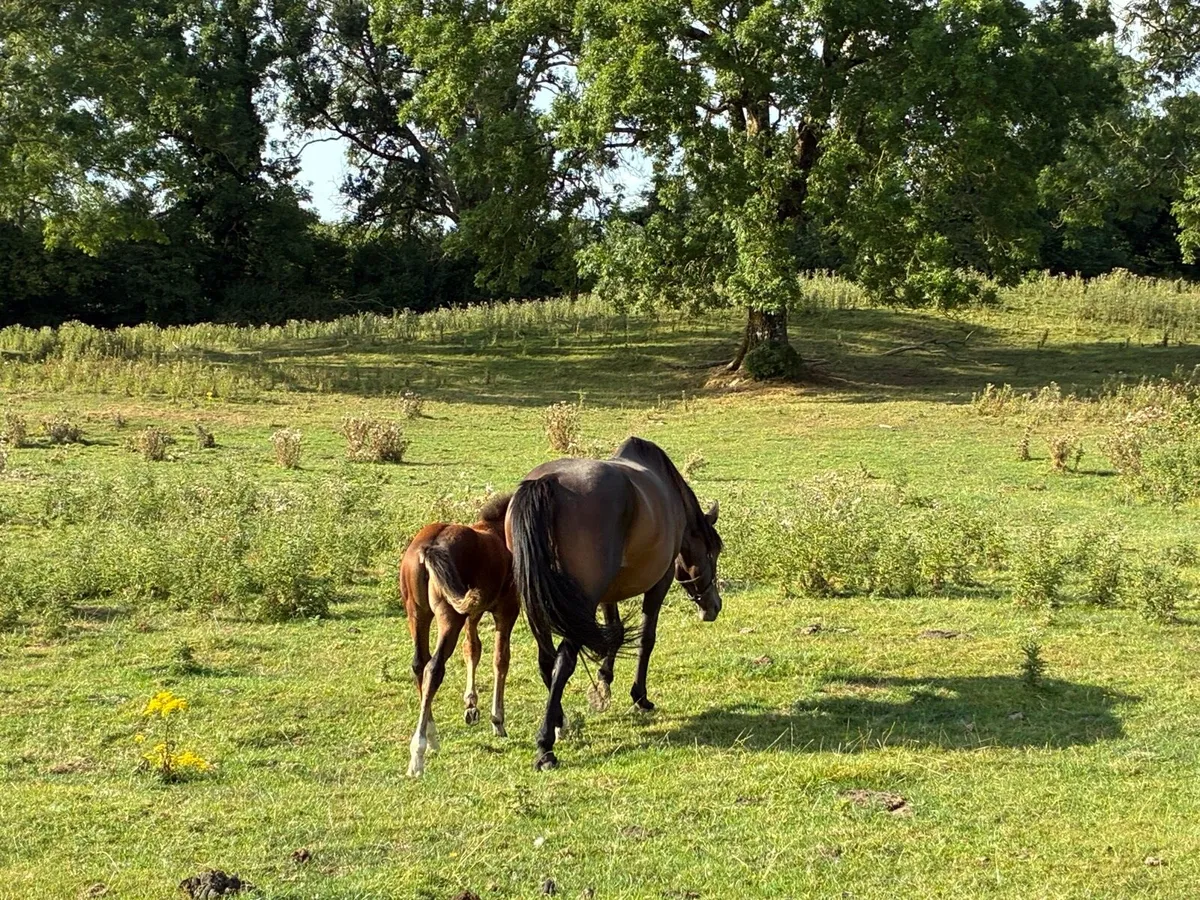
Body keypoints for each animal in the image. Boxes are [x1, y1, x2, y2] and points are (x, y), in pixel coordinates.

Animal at [399, 493, 518, 777]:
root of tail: (428, 548)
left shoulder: (473, 612)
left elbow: (472, 650)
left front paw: (471, 705)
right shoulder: (506, 610)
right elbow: (500, 659)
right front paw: (497, 721)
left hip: (417, 614)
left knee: (419, 664)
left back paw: (432, 737)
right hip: (448, 616)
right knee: (433, 668)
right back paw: (418, 753)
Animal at [505, 436, 723, 770]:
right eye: (714, 552)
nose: (713, 606)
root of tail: (548, 482)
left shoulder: (607, 593)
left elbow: (615, 632)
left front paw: (604, 682)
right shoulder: (658, 584)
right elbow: (646, 638)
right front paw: (640, 696)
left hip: (538, 605)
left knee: (546, 661)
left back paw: (558, 723)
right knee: (563, 662)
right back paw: (546, 747)